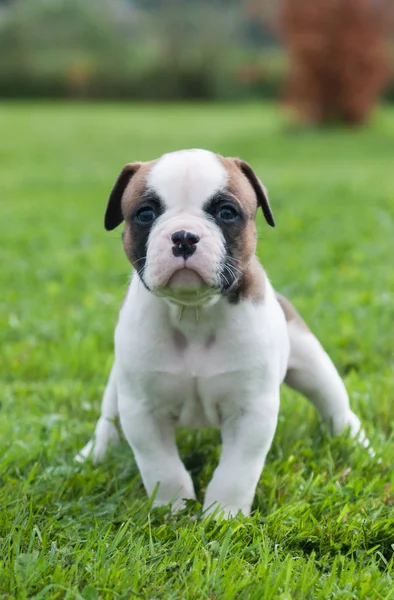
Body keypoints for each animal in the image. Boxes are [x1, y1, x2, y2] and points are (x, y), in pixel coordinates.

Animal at [77, 149, 370, 516]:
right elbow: (161, 466)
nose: (184, 236)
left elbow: (236, 471)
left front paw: (224, 515)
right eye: (145, 214)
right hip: (117, 383)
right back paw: (94, 453)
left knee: (334, 404)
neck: (193, 313)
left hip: (311, 361)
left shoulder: (251, 410)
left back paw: (357, 444)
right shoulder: (142, 410)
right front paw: (173, 508)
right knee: (107, 417)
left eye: (226, 212)